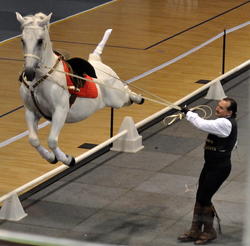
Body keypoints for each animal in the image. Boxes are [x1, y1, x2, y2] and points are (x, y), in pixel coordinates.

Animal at [15, 13, 144, 166]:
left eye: (40, 41)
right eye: (22, 40)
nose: (29, 72)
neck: (40, 80)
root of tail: (96, 60)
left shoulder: (60, 111)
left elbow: (52, 140)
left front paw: (67, 159)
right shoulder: (31, 111)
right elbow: (33, 140)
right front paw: (51, 157)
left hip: (117, 98)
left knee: (127, 92)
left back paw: (139, 98)